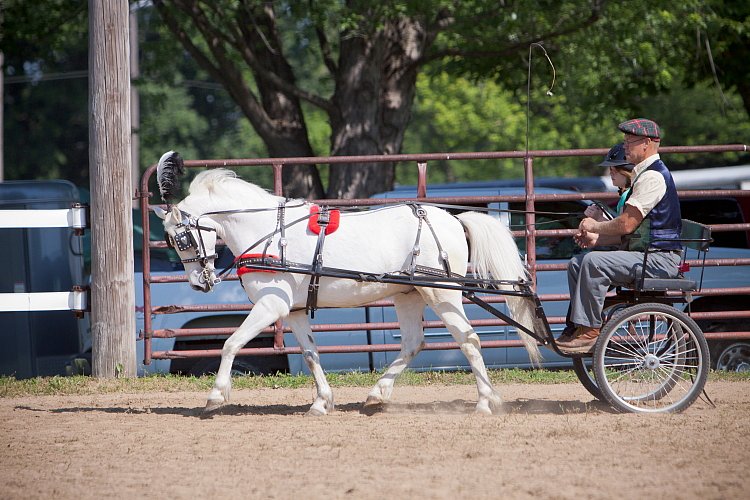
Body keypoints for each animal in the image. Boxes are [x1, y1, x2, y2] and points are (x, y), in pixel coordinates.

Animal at [154, 151, 540, 414]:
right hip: (409, 295)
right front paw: (322, 402)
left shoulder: (271, 304)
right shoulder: (294, 310)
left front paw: (216, 395)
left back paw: (485, 402)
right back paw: (376, 395)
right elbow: (310, 353)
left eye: (181, 238)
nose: (199, 284)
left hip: (440, 295)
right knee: (413, 343)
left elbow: (231, 343)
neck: (268, 232)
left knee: (468, 339)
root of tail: (454, 219)